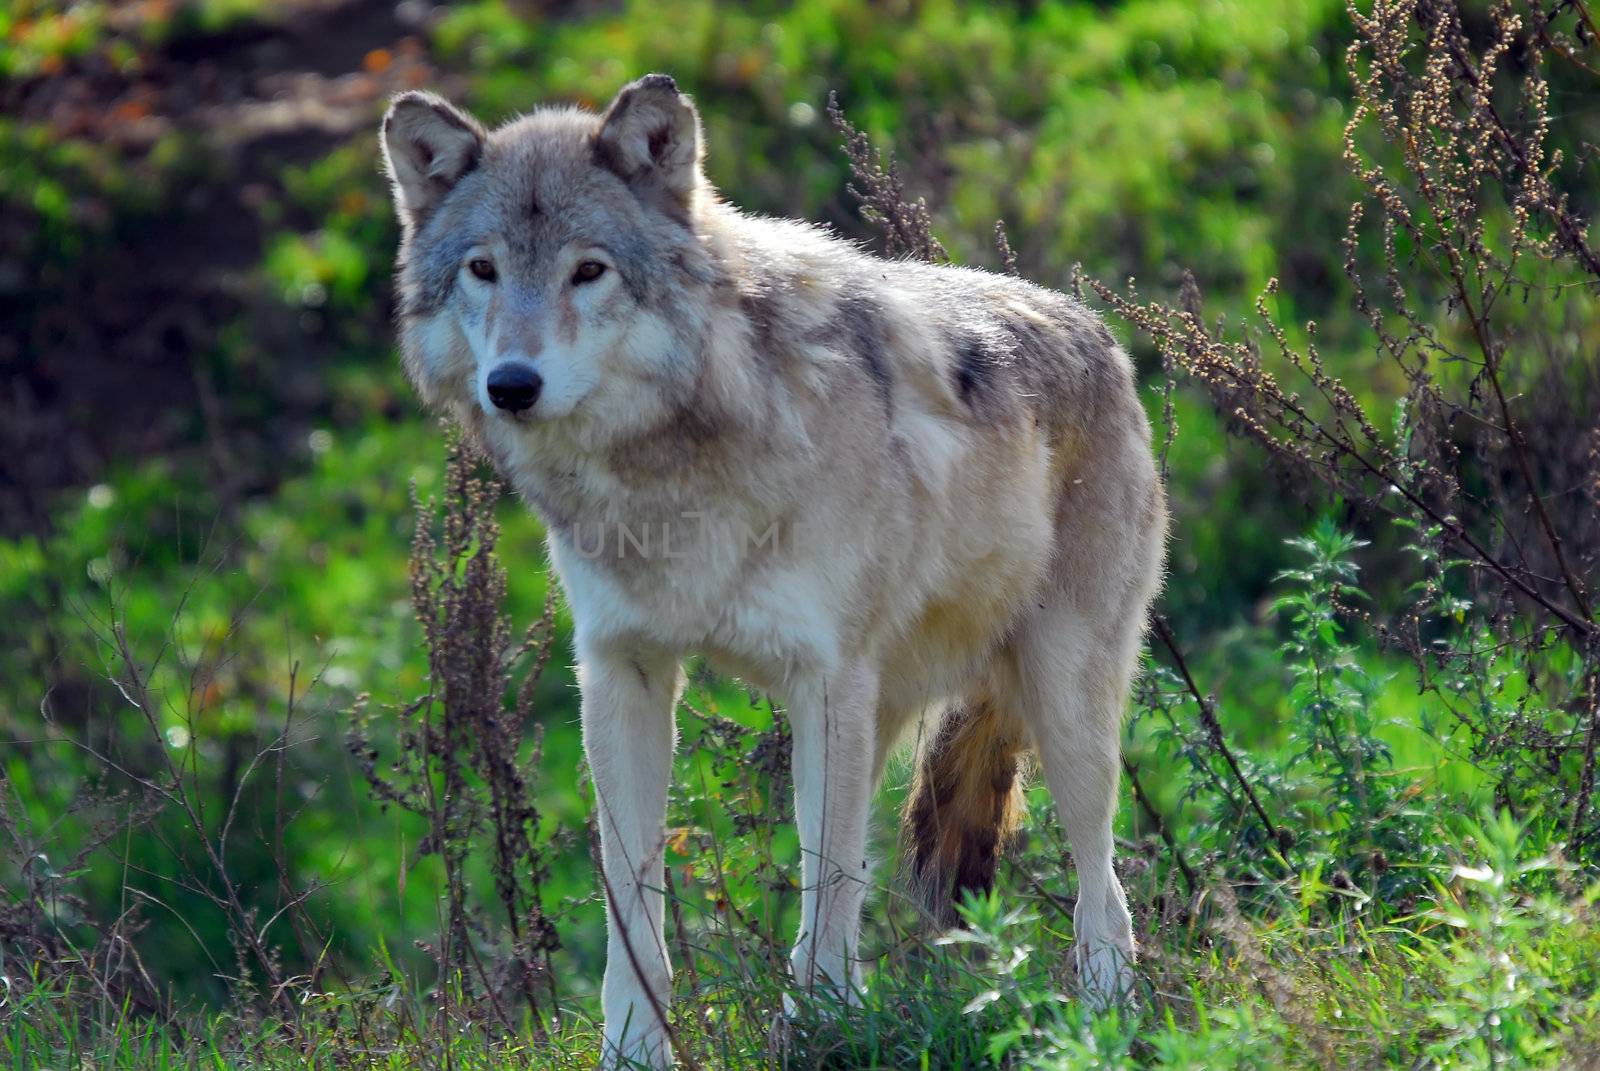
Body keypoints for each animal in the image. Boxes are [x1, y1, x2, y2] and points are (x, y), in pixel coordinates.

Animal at [382, 73, 1171, 1062]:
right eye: (482, 270)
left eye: (588, 271)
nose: (512, 386)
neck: (675, 468)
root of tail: (1102, 335)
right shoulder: (621, 671)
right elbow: (633, 900)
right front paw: (635, 1048)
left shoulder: (824, 680)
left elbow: (824, 884)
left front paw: (820, 1030)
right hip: (888, 707)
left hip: (1062, 705)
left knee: (1105, 892)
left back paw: (1105, 1021)